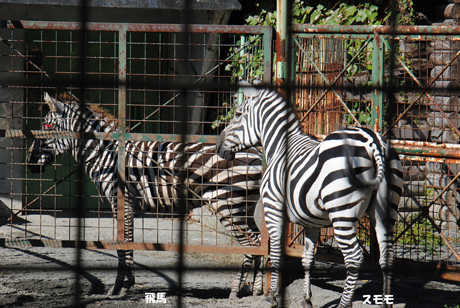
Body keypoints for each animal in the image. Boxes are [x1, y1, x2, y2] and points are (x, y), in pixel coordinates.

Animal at [27, 93, 266, 298]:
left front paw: (120, 287)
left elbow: (124, 243)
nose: (29, 163)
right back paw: (256, 290)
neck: (106, 155)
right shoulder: (126, 204)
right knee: (260, 241)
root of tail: (257, 153)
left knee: (252, 244)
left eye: (46, 127)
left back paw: (236, 290)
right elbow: (127, 242)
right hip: (243, 207)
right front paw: (125, 284)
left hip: (226, 204)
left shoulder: (121, 201)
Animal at [216, 80, 402, 308]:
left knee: (354, 257)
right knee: (387, 256)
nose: (218, 147)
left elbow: (275, 253)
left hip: (342, 212)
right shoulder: (311, 221)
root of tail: (372, 140)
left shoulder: (272, 209)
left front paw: (272, 296)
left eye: (237, 114)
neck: (280, 146)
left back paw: (344, 304)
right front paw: (306, 299)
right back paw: (386, 302)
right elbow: (307, 258)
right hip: (386, 210)